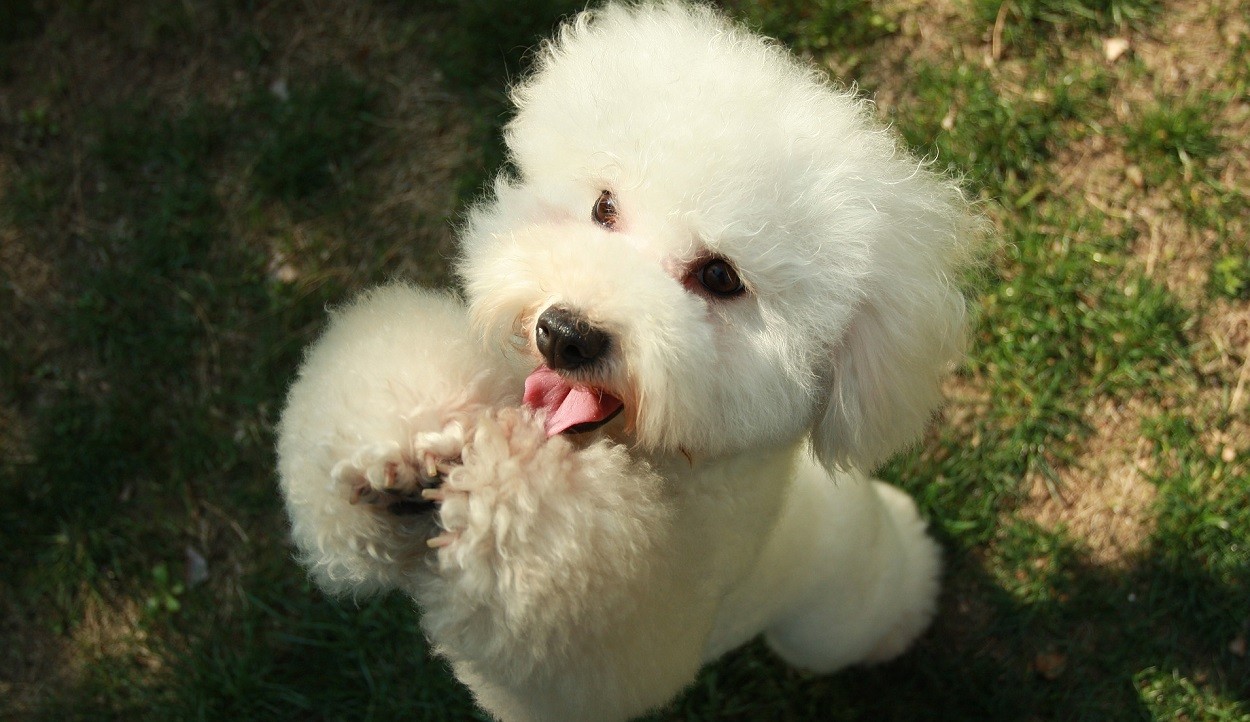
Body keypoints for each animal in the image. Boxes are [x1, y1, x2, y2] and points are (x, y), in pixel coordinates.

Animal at [278, 2, 980, 714]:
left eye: (720, 277)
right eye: (603, 208)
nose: (563, 333)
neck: (659, 458)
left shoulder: (622, 642)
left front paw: (499, 487)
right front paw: (398, 453)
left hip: (829, 625)